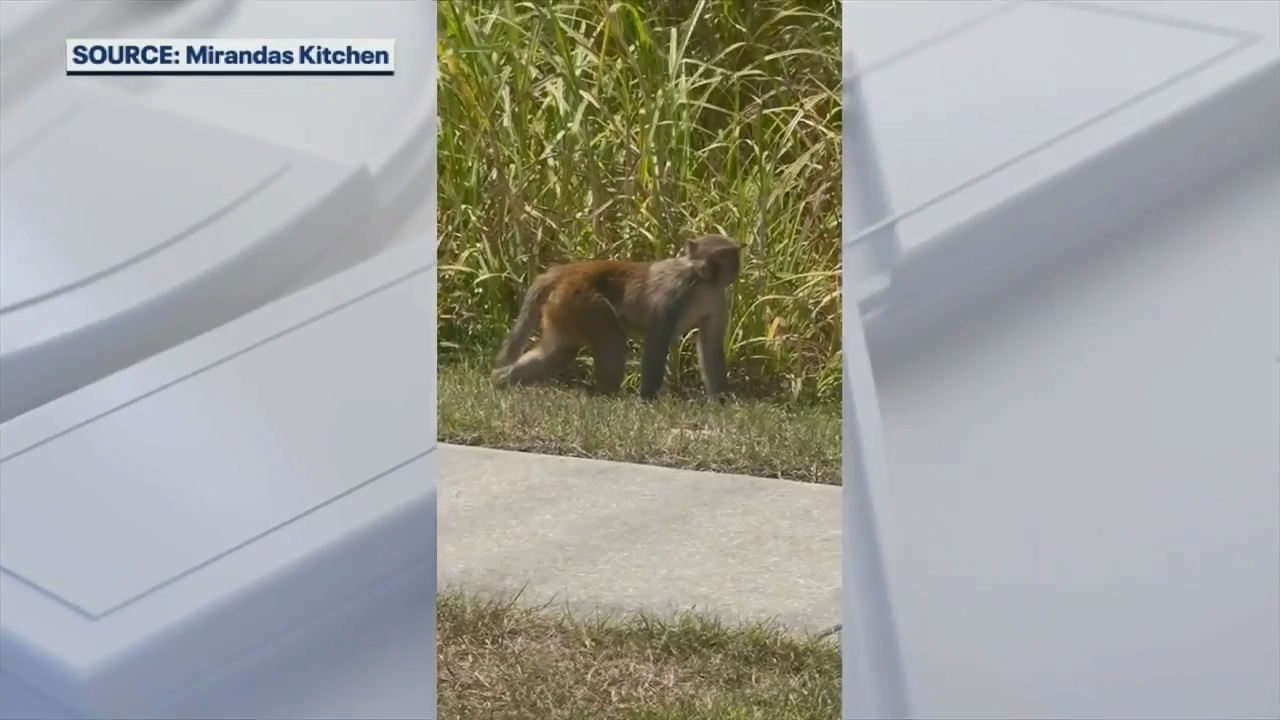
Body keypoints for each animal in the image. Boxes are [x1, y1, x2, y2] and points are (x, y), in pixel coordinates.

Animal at [490, 234, 741, 401]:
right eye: (727, 255)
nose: (736, 266)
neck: (702, 281)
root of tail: (567, 271)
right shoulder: (675, 293)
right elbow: (657, 340)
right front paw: (647, 399)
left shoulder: (717, 298)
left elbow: (710, 344)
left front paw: (721, 400)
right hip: (581, 302)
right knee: (611, 338)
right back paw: (606, 394)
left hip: (563, 307)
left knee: (558, 354)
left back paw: (499, 380)